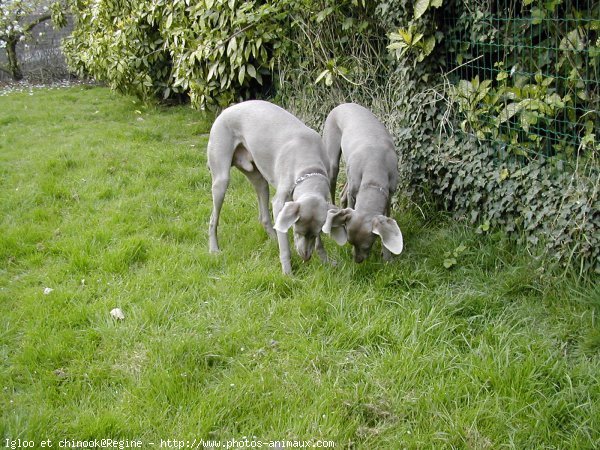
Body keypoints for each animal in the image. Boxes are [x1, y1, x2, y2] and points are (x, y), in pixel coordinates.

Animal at [207, 100, 332, 274]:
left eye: (314, 234)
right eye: (297, 231)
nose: (306, 258)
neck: (309, 165)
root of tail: (226, 110)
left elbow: (318, 242)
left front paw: (326, 261)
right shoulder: (280, 203)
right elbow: (285, 248)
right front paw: (288, 273)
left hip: (259, 180)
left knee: (265, 218)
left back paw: (274, 240)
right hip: (221, 180)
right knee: (213, 219)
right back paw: (214, 249)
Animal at [322, 102, 400, 264]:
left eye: (366, 246)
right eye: (350, 242)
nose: (357, 261)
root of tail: (342, 104)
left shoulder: (389, 196)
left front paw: (387, 256)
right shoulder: (354, 194)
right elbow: (351, 207)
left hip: (349, 171)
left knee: (343, 192)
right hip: (333, 162)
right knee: (333, 189)